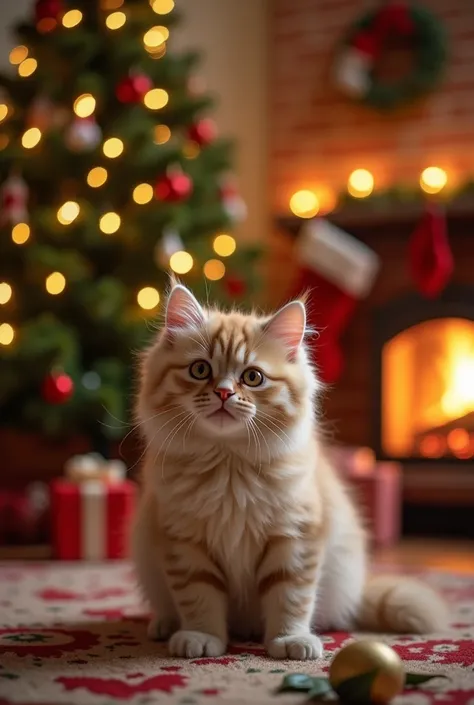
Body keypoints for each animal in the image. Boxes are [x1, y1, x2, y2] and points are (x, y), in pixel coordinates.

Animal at [132, 282, 448, 660]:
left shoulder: (295, 537)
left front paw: (290, 641)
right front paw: (200, 637)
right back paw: (164, 625)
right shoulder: (184, 541)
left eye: (252, 377)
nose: (223, 393)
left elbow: (290, 598)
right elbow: (199, 597)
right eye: (200, 370)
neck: (229, 464)